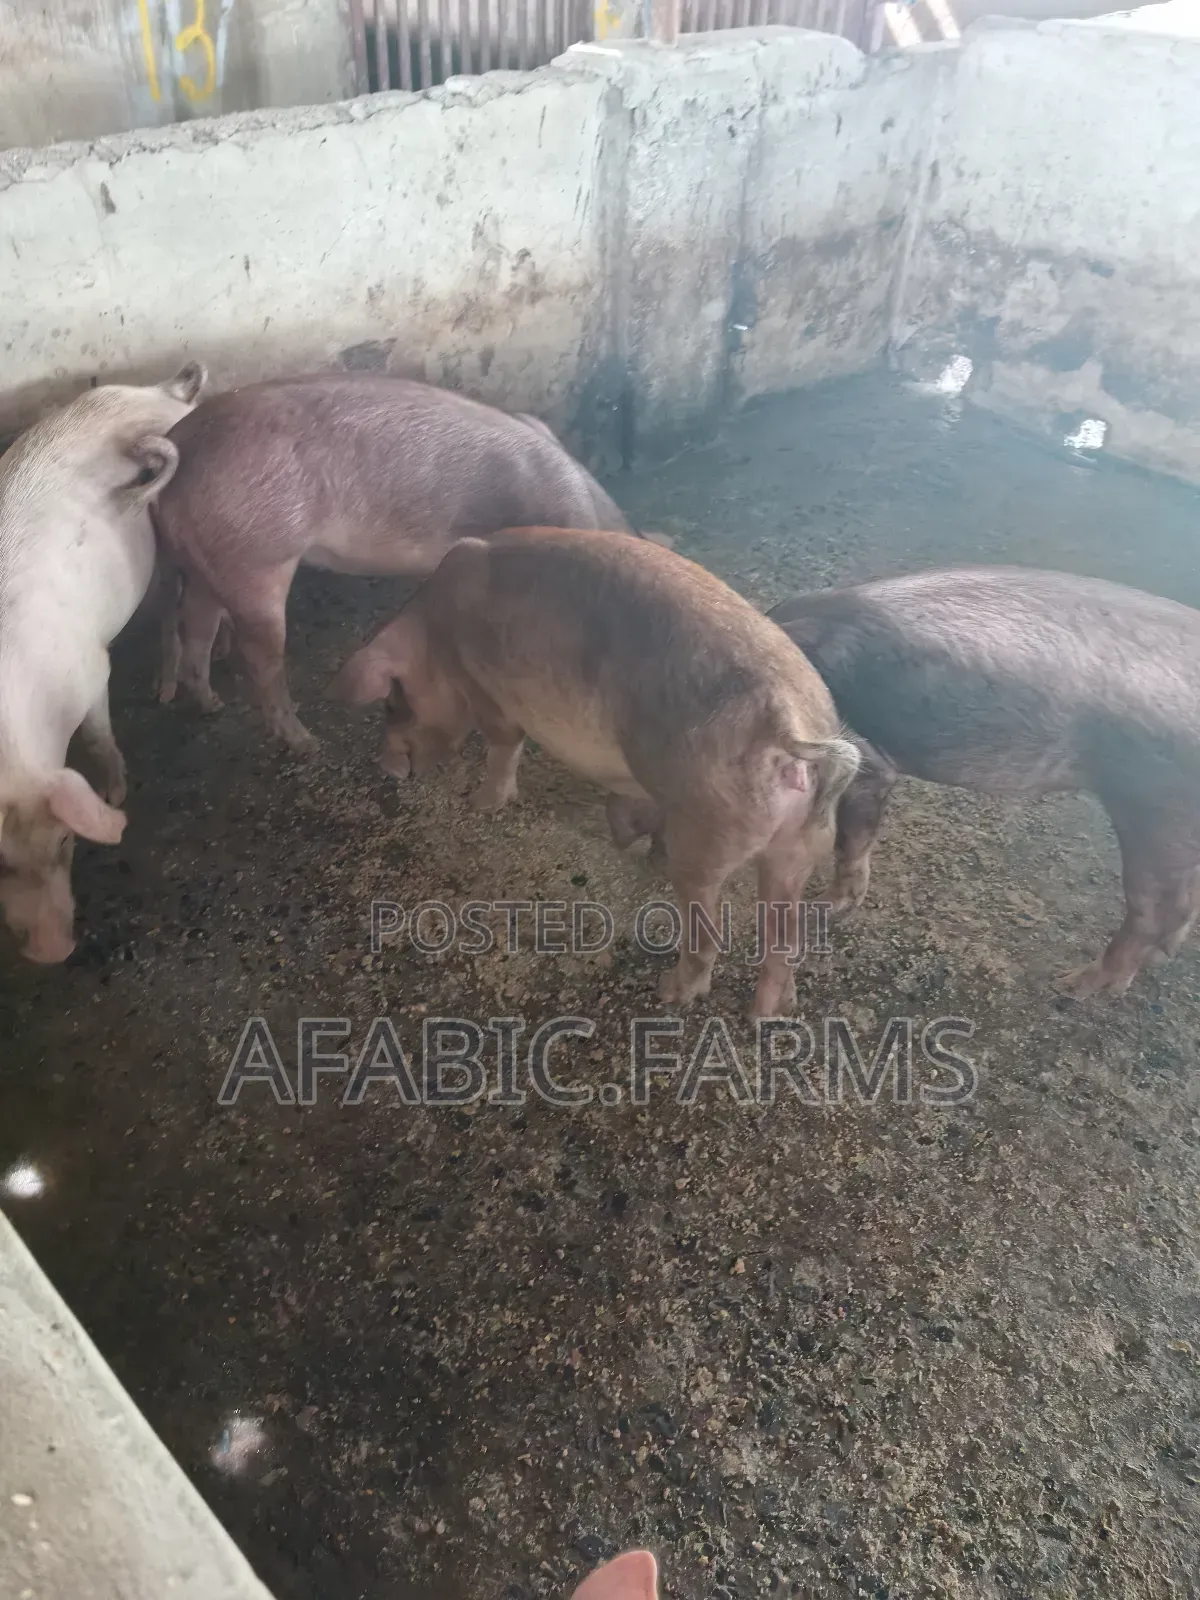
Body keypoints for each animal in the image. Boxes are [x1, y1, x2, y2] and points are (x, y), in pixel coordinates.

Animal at [0, 362, 207, 963]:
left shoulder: (91, 674)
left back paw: (165, 690)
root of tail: (166, 393)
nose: (50, 953)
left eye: (66, 842)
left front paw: (117, 795)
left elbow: (97, 739)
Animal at [152, 374, 650, 754]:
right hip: (255, 557)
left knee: (195, 627)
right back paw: (306, 742)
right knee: (260, 657)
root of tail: (181, 443)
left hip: (207, 560)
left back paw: (210, 702)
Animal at [327, 527, 860, 1019]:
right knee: (785, 938)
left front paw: (478, 804)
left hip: (711, 831)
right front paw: (630, 835)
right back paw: (768, 1012)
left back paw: (671, 992)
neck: (439, 634)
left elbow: (503, 747)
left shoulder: (487, 692)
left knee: (709, 933)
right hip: (804, 841)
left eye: (392, 705)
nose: (385, 766)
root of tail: (785, 723)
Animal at [768, 566, 1200, 997]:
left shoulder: (864, 759)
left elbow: (848, 842)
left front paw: (822, 906)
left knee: (1154, 913)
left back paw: (1071, 986)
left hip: (1158, 809)